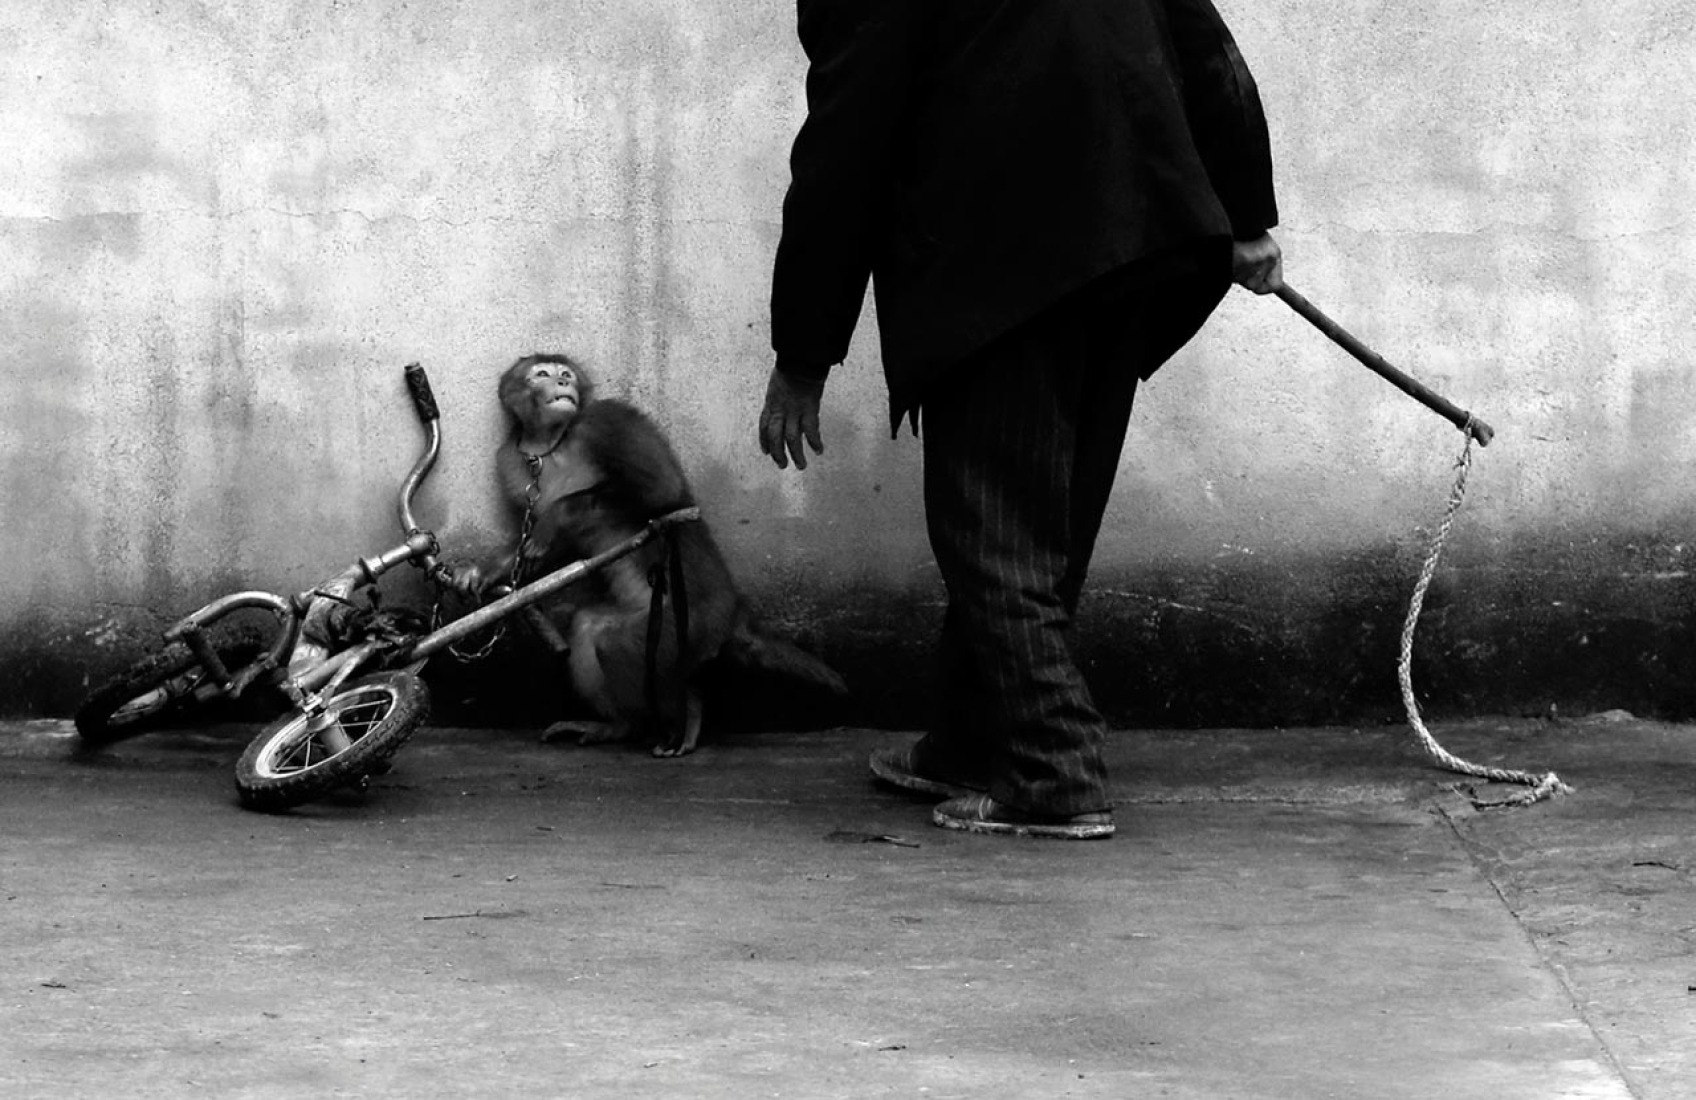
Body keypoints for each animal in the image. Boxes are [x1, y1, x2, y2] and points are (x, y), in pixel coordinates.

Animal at [454, 352, 844, 755]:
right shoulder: (512, 462)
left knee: (619, 645)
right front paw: (481, 572)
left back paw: (685, 715)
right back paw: (618, 726)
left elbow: (663, 490)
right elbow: (539, 545)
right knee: (590, 628)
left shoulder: (608, 421)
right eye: (542, 374)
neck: (551, 444)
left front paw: (554, 516)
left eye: (566, 375)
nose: (562, 384)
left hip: (693, 624)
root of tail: (736, 612)